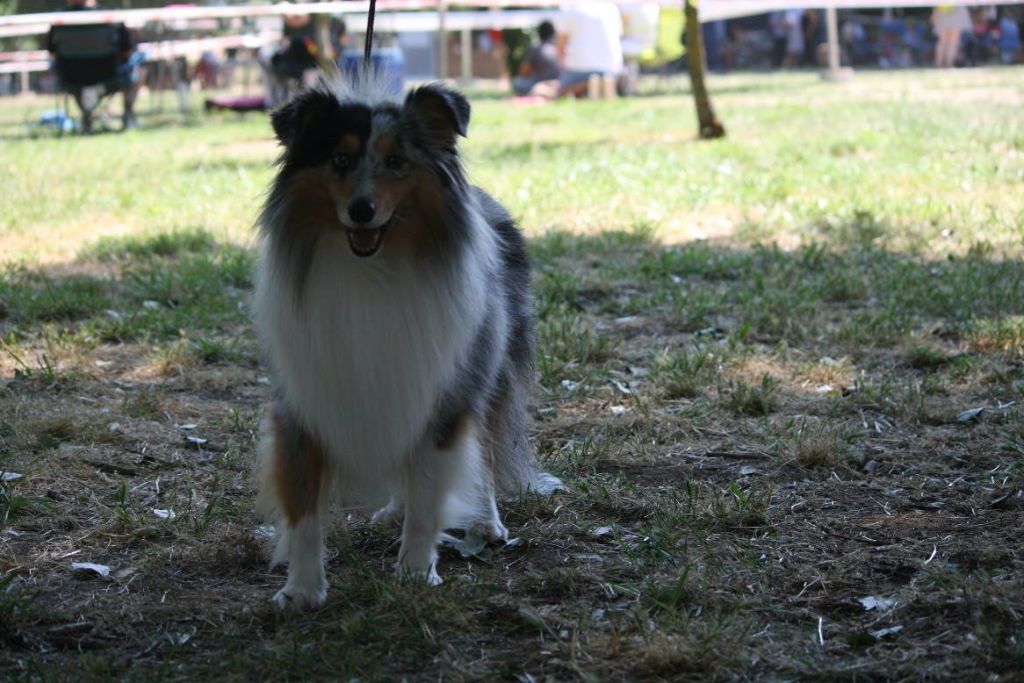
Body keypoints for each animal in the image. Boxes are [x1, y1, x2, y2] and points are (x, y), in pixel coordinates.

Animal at [253, 76, 561, 610]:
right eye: (340, 159)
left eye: (397, 162)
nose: (362, 211)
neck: (371, 270)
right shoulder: (305, 397)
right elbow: (303, 506)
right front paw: (302, 589)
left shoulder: (445, 396)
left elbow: (430, 493)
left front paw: (416, 571)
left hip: (490, 371)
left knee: (486, 452)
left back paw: (487, 522)